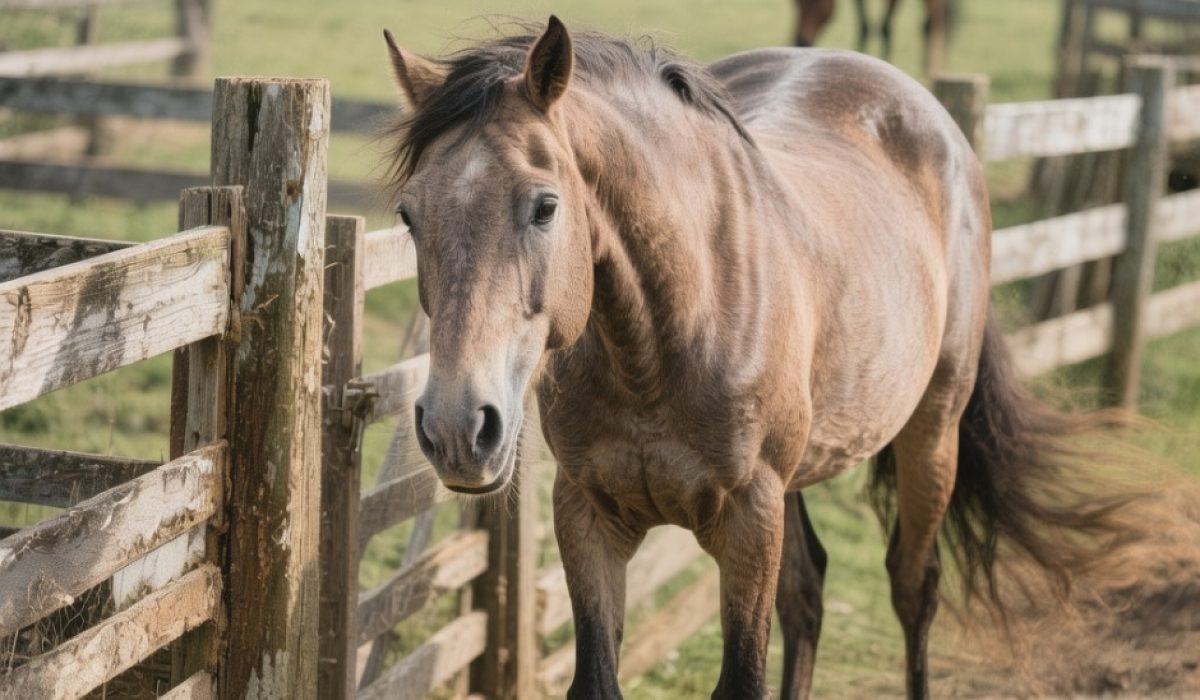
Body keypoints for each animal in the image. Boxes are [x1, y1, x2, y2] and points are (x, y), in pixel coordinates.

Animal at [381, 17, 1126, 698]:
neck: (663, 341)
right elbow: (599, 678)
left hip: (931, 432)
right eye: (410, 216)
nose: (457, 428)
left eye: (544, 207)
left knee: (915, 589)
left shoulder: (748, 518)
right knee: (807, 594)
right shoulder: (587, 513)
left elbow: (742, 679)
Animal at [793, 0, 952, 75]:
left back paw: (932, 66)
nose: (801, 40)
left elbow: (885, 28)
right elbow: (864, 26)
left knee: (934, 20)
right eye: (797, 4)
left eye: (817, 4)